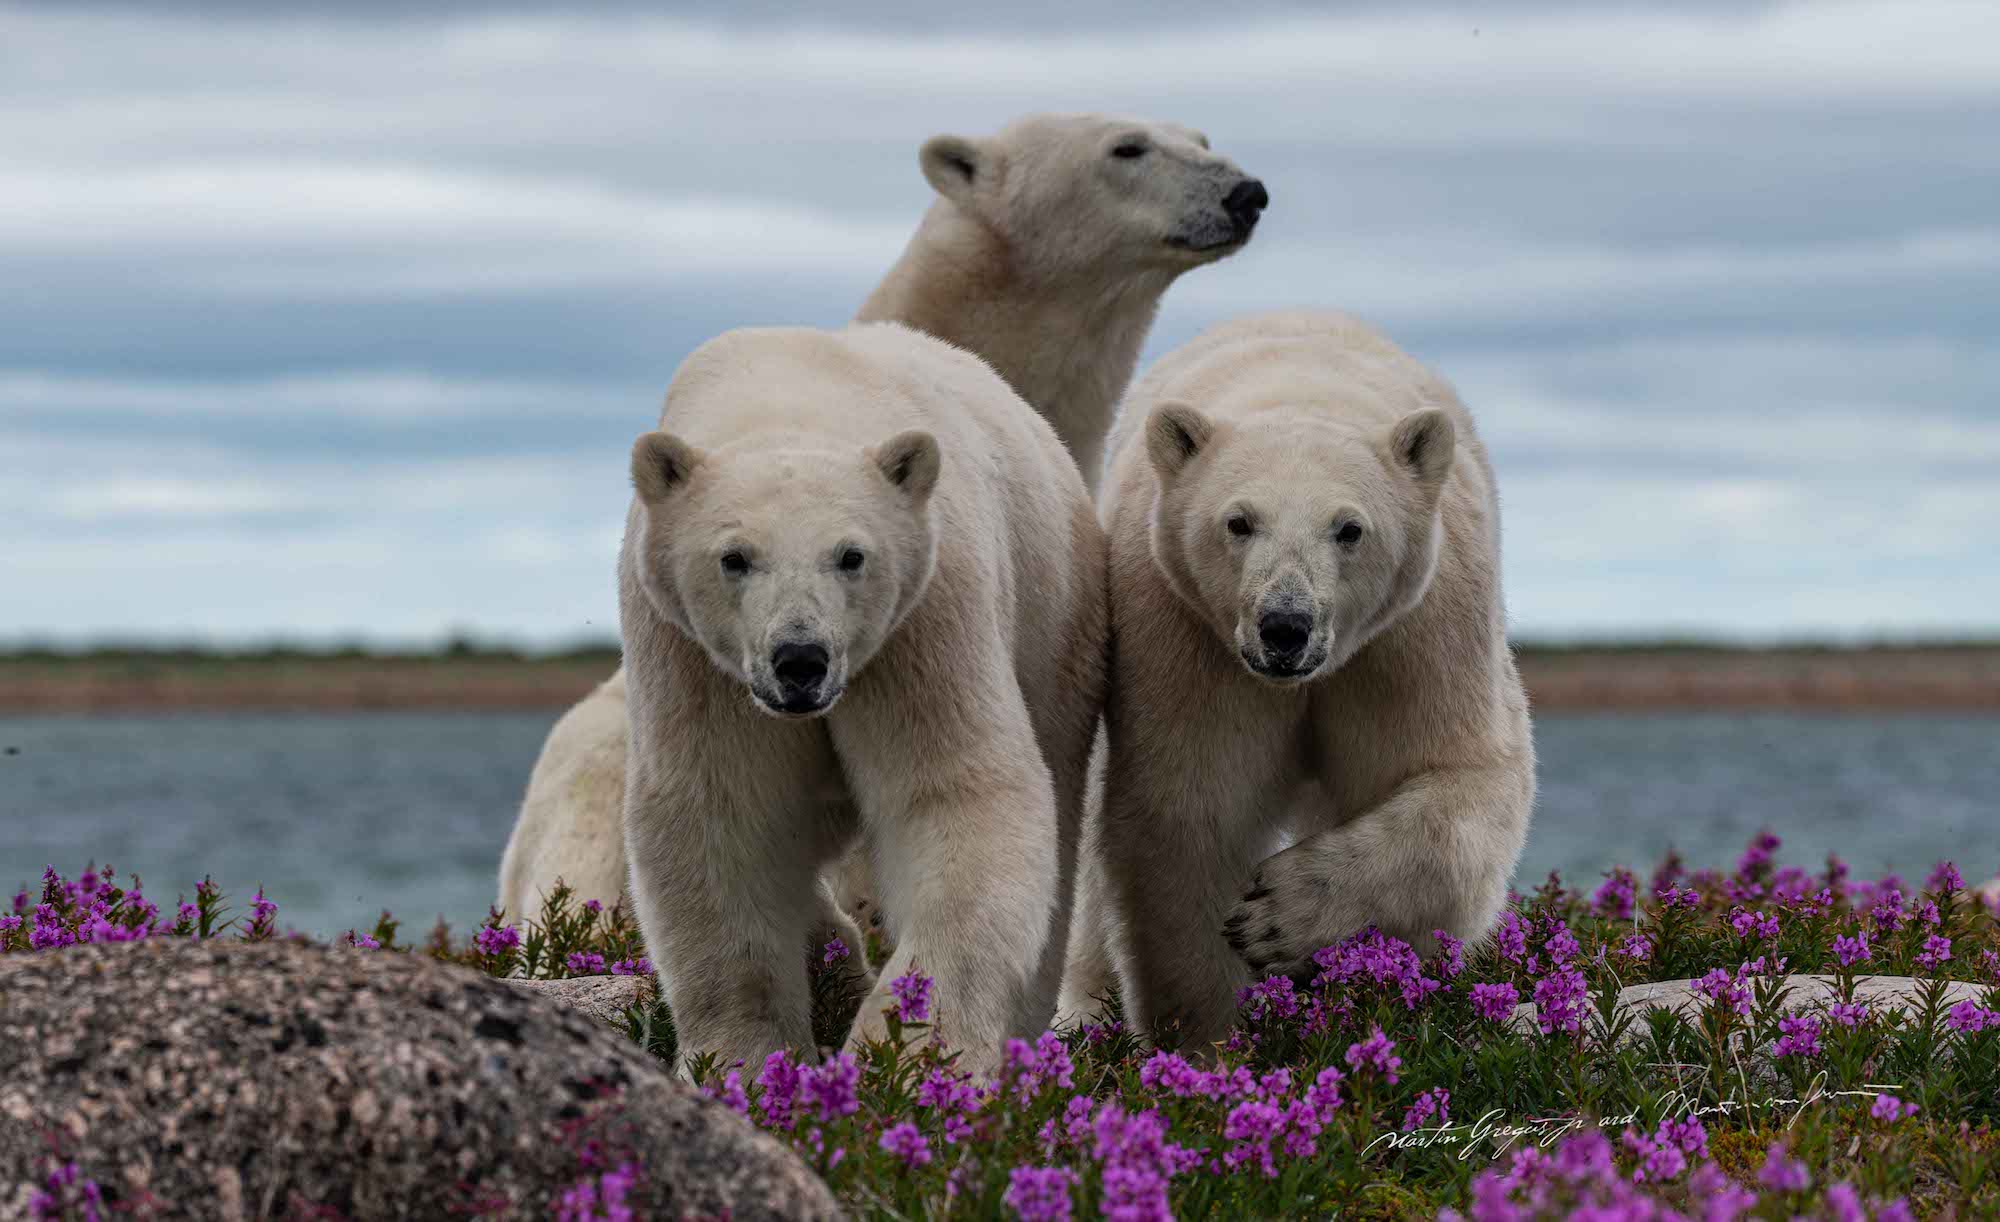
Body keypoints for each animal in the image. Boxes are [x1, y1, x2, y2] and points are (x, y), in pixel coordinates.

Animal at [616, 322, 1104, 1072]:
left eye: (851, 555)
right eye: (734, 557)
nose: (800, 658)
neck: (788, 400)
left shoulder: (923, 618)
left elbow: (953, 793)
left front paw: (910, 1050)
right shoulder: (691, 654)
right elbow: (719, 813)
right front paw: (742, 1060)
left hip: (1055, 625)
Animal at [1072, 310, 1536, 1048]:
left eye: (1349, 529)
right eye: (1238, 521)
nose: (1284, 626)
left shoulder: (1414, 634)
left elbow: (1452, 779)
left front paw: (1283, 916)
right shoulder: (1186, 633)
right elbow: (1192, 807)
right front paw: (1211, 1036)